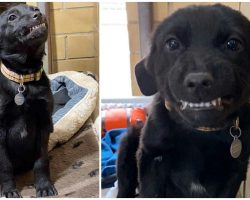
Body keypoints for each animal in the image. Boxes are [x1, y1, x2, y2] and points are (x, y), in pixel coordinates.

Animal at [0, 3, 57, 198]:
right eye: (12, 17)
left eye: (33, 8)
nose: (38, 14)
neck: (23, 78)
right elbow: (5, 166)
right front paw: (9, 191)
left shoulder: (44, 122)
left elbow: (41, 161)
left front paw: (44, 186)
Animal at [118, 3, 250, 198]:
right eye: (172, 43)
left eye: (233, 44)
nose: (198, 82)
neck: (201, 132)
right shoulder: (150, 159)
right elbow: (150, 191)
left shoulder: (234, 172)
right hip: (128, 143)